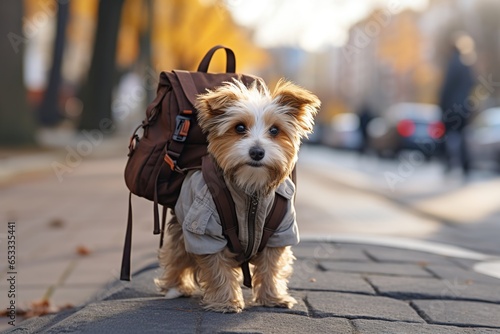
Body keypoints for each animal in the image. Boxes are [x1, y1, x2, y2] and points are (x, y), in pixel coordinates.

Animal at [155, 79, 320, 314]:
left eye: (275, 130)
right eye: (240, 128)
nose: (257, 152)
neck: (250, 191)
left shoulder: (280, 230)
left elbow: (271, 266)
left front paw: (273, 297)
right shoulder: (206, 230)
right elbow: (217, 267)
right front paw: (226, 301)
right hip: (183, 225)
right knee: (177, 255)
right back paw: (175, 287)